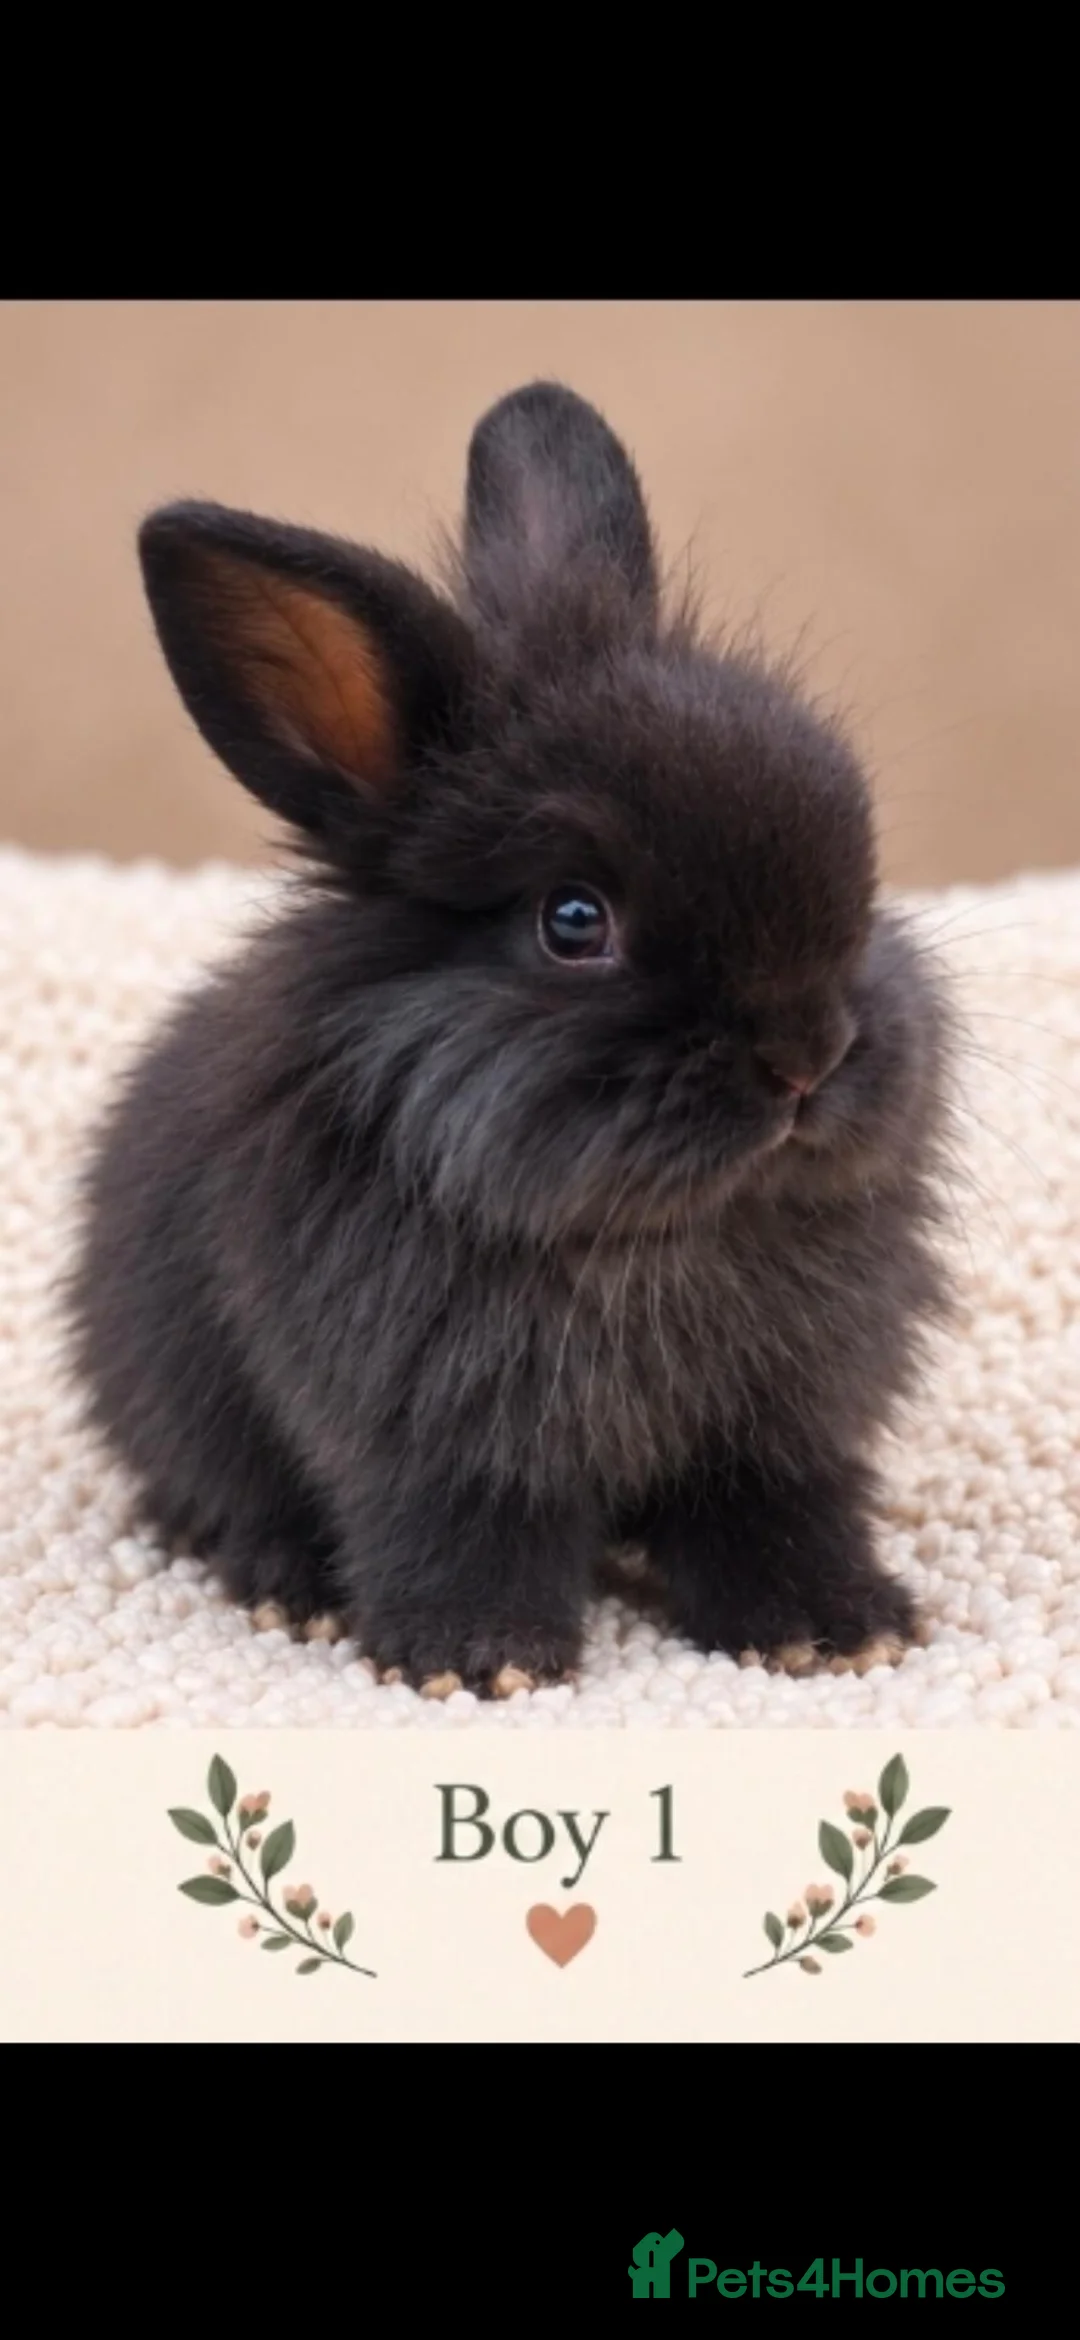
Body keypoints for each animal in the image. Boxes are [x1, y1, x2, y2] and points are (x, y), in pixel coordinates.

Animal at [67, 380, 953, 1697]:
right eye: (573, 920)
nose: (809, 1056)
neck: (655, 1237)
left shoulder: (774, 1429)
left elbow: (775, 1513)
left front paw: (834, 1629)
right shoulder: (431, 1437)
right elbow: (460, 1529)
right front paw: (480, 1662)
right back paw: (289, 1588)